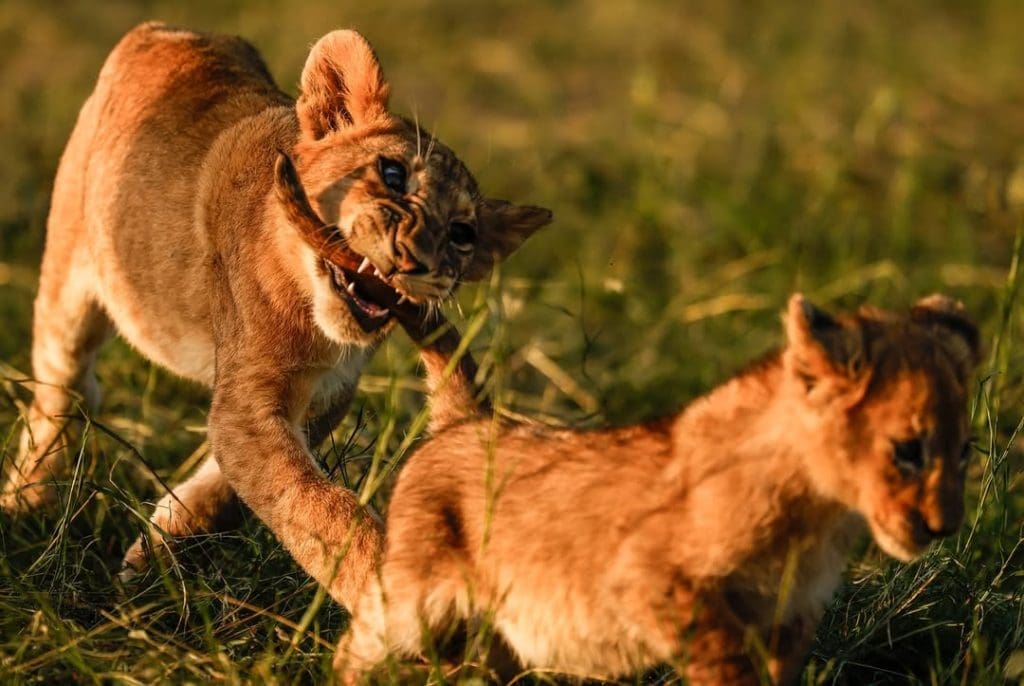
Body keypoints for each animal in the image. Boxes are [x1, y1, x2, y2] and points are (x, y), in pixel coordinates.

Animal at [0, 21, 552, 610]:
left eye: (463, 234)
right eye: (393, 172)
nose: (416, 259)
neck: (317, 317)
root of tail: (167, 29)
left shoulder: (323, 397)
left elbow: (239, 492)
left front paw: (159, 548)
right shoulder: (250, 400)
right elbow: (320, 509)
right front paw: (388, 596)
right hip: (68, 269)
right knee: (66, 388)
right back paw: (28, 502)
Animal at [338, 294, 980, 684]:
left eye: (964, 450)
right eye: (908, 451)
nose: (945, 528)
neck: (818, 511)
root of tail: (469, 419)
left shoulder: (789, 619)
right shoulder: (649, 580)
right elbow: (725, 662)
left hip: (489, 639)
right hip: (410, 604)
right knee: (353, 652)